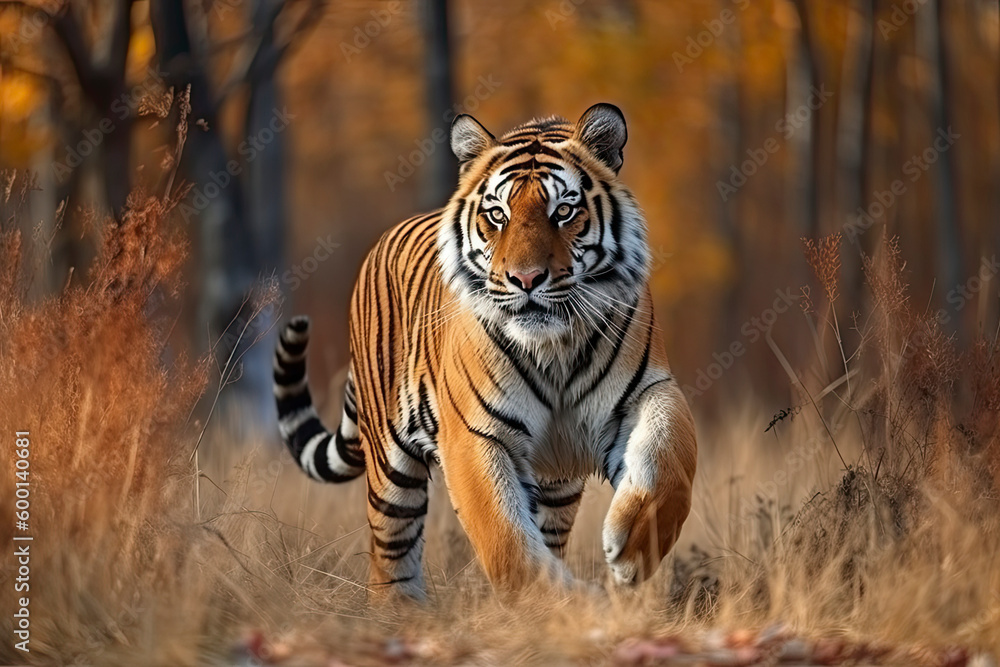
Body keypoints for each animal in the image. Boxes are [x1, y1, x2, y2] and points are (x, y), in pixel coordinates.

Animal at [273, 103, 697, 600]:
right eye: (497, 214)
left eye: (564, 211)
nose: (526, 279)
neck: (553, 349)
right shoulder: (475, 433)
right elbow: (506, 540)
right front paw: (562, 605)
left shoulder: (646, 392)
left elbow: (668, 458)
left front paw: (632, 551)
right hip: (390, 469)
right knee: (389, 556)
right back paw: (403, 612)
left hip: (556, 484)